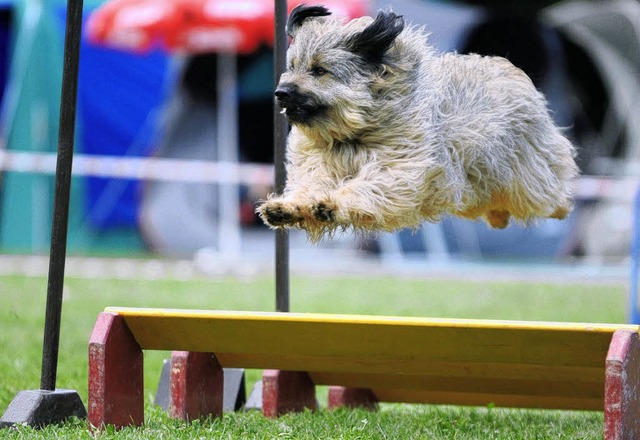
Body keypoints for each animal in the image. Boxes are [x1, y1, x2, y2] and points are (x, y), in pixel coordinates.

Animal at [258, 5, 576, 242]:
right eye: (292, 66)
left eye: (320, 70)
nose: (280, 92)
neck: (352, 133)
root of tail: (514, 71)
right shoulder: (320, 162)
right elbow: (311, 185)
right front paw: (288, 207)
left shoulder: (399, 165)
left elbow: (369, 186)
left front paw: (332, 204)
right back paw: (498, 217)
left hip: (528, 176)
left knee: (549, 193)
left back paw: (561, 207)